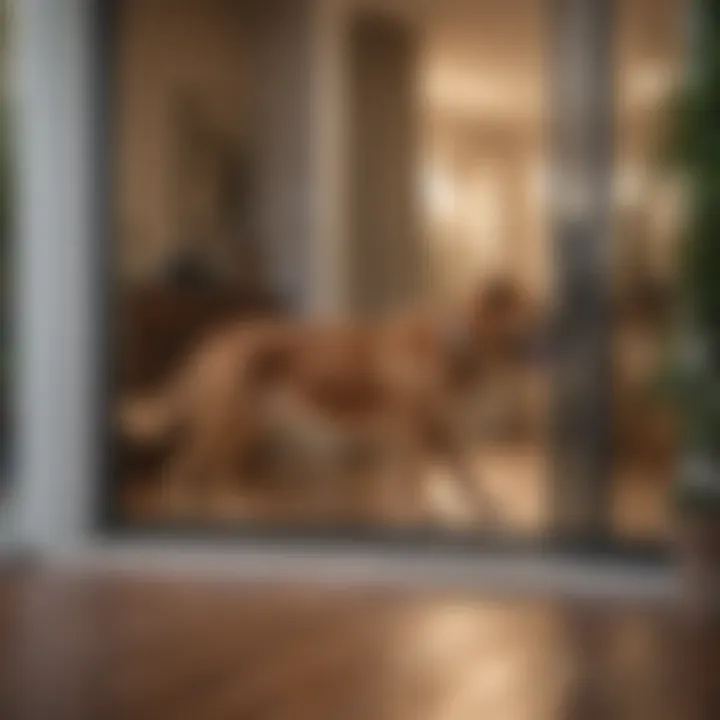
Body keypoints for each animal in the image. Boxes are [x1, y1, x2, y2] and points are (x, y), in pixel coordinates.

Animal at [119, 278, 540, 520]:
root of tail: (215, 337)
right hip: (227, 422)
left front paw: (489, 510)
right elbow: (414, 482)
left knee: (214, 470)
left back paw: (237, 507)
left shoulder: (441, 431)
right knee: (184, 468)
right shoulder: (407, 432)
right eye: (537, 316)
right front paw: (418, 514)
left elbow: (469, 476)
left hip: (245, 425)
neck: (457, 339)